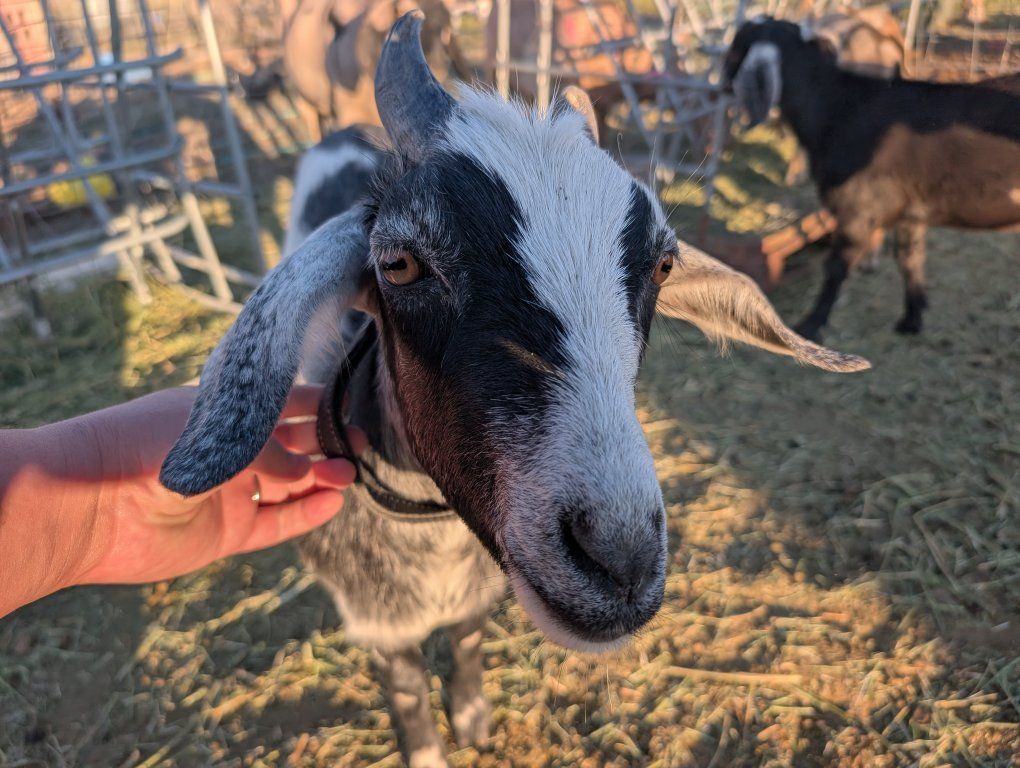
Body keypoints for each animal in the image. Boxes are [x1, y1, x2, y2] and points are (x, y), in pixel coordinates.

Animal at [161, 14, 868, 767]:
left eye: (664, 264)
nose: (618, 559)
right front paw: (432, 747)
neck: (435, 541)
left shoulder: (475, 594)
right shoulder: (377, 620)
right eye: (398, 263)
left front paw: (472, 719)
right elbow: (405, 691)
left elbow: (469, 640)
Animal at [725, 17, 1020, 339]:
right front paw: (911, 319)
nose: (723, 85)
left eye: (736, 46)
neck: (839, 108)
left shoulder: (857, 210)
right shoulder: (911, 210)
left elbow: (836, 268)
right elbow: (910, 259)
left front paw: (810, 326)